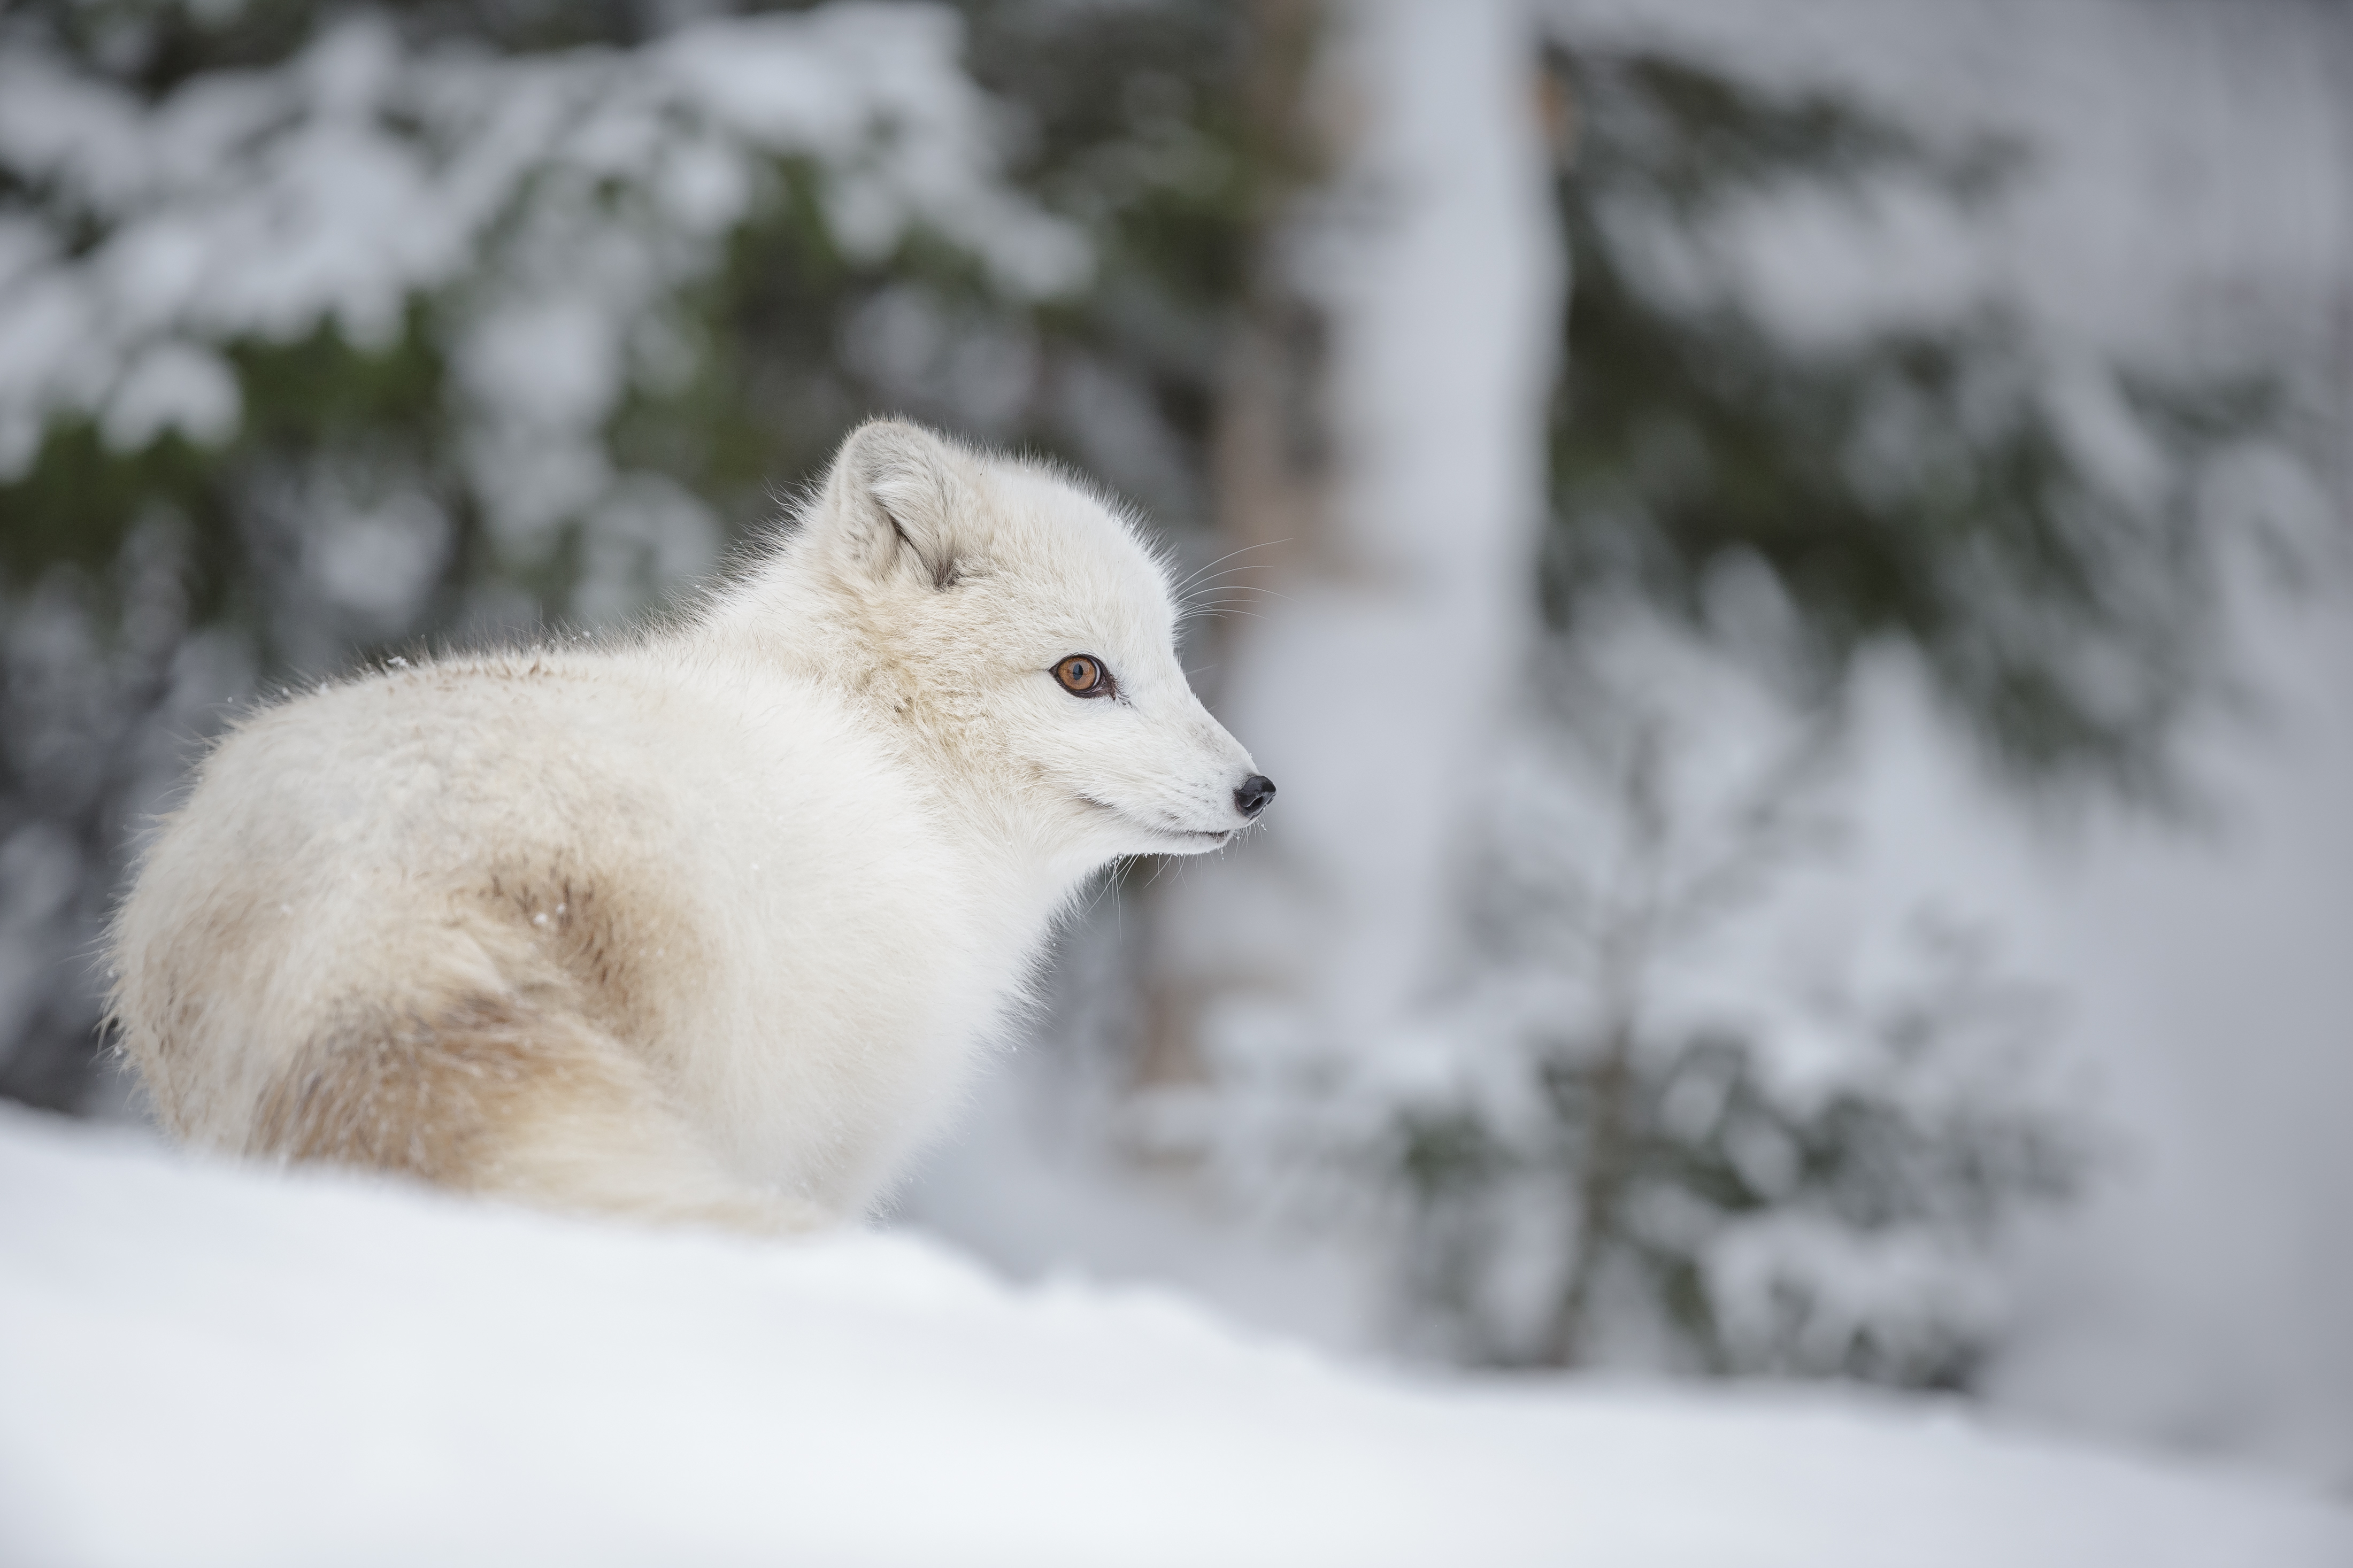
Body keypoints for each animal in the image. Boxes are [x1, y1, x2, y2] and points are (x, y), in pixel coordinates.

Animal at [106, 423, 1289, 1232]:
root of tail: (366, 908)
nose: (1257, 790)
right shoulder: (843, 1142)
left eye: (1170, 659)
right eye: (1083, 675)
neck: (889, 749)